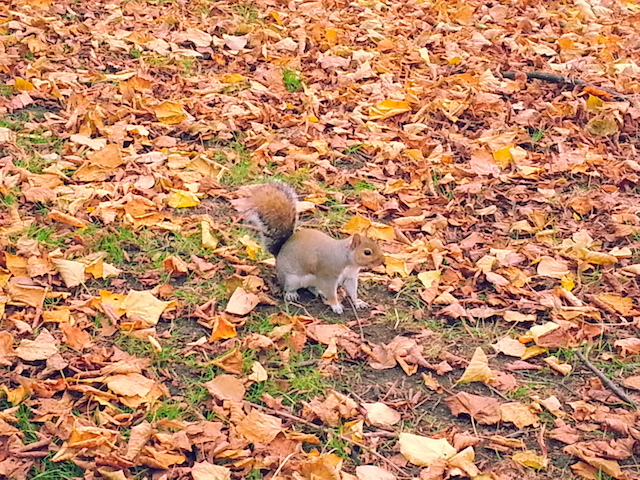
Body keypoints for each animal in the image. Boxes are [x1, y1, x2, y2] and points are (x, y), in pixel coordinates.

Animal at [235, 182, 384, 314]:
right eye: (367, 252)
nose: (381, 261)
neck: (347, 260)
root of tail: (280, 252)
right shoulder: (327, 275)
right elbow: (331, 292)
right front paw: (336, 305)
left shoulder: (350, 277)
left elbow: (352, 290)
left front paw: (358, 302)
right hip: (291, 278)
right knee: (288, 287)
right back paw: (291, 294)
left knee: (311, 287)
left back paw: (318, 291)